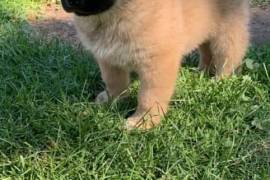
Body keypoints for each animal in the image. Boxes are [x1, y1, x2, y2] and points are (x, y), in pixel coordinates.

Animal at [60, 0, 249, 129]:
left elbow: (149, 96)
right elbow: (114, 83)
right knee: (206, 50)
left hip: (226, 30)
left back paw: (220, 81)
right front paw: (112, 101)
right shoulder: (108, 58)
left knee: (229, 55)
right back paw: (201, 73)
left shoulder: (157, 63)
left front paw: (143, 122)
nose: (70, 3)